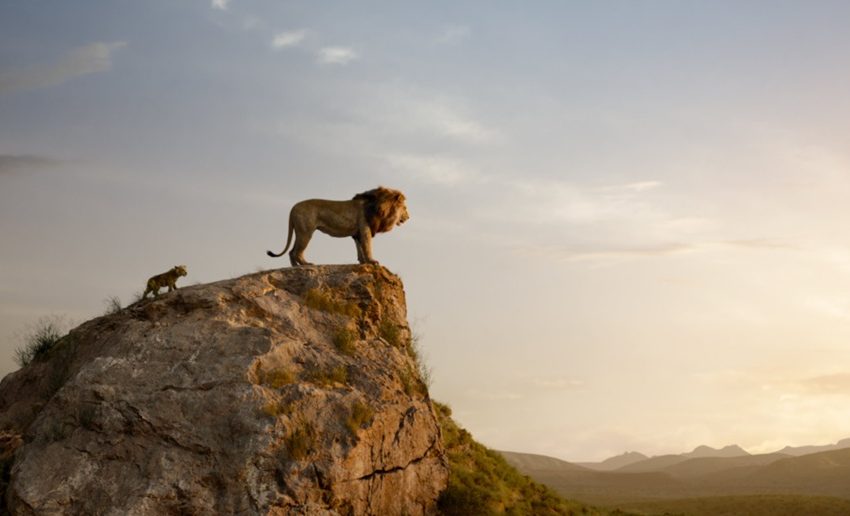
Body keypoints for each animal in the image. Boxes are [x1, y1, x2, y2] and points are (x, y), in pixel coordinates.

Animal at [266, 187, 409, 266]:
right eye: (405, 208)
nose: (408, 217)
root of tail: (293, 208)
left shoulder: (357, 233)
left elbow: (360, 248)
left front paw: (363, 262)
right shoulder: (365, 229)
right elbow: (367, 247)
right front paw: (372, 261)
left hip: (300, 231)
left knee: (291, 252)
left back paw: (295, 267)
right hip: (306, 232)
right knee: (297, 252)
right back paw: (306, 264)